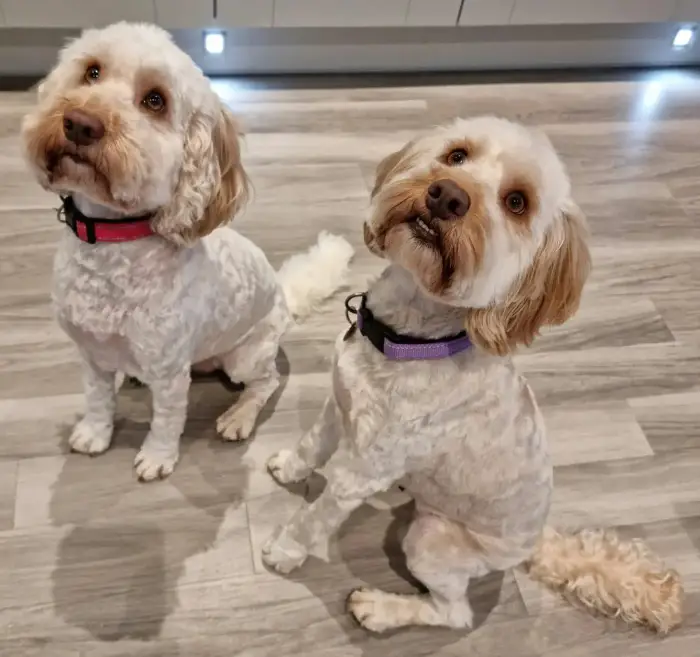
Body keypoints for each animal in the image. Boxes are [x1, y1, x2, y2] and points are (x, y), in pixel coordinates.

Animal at [21, 23, 352, 480]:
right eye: (92, 71)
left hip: (246, 355)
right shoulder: (92, 354)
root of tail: (284, 297)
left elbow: (166, 420)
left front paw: (157, 458)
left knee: (266, 382)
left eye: (155, 100)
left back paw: (239, 416)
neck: (112, 241)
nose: (80, 123)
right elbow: (97, 398)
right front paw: (94, 432)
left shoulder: (170, 373)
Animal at [262, 116, 684, 632]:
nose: (447, 195)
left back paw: (381, 609)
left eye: (517, 202)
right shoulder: (336, 404)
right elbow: (311, 444)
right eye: (457, 155)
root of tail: (535, 541)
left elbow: (313, 519)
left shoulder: (359, 475)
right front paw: (289, 466)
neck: (410, 339)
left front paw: (285, 551)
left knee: (454, 613)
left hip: (431, 539)